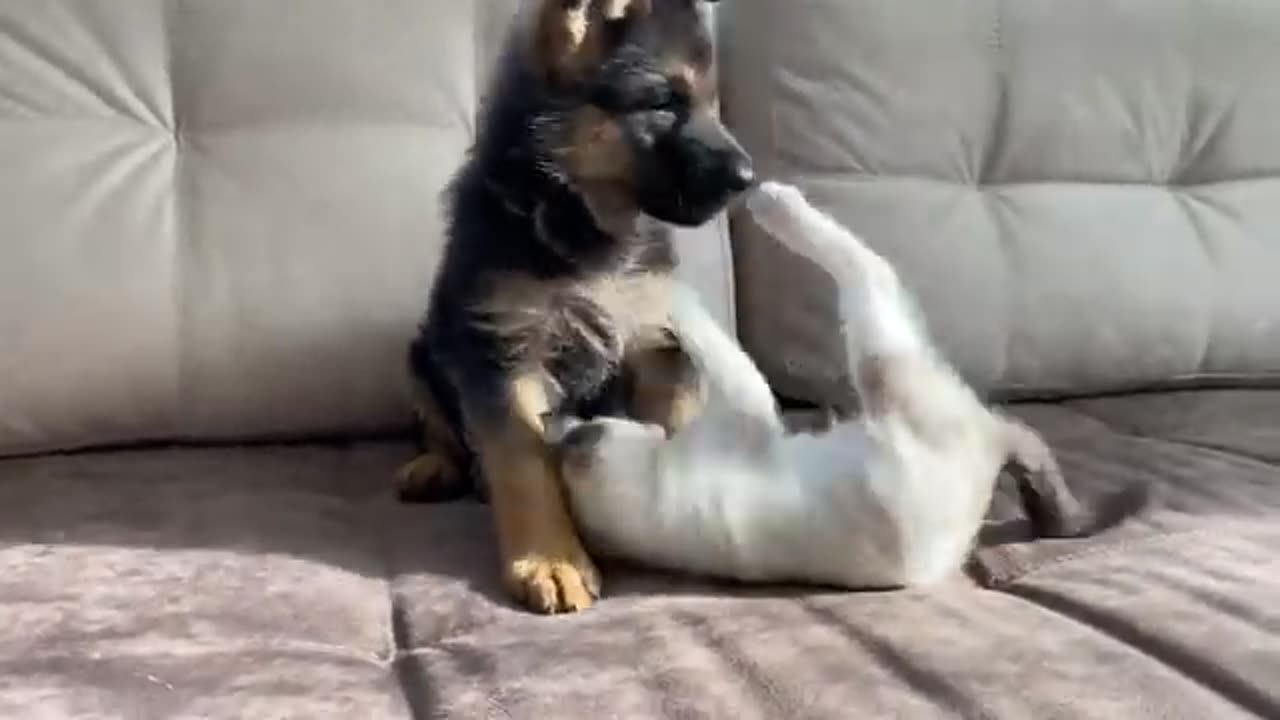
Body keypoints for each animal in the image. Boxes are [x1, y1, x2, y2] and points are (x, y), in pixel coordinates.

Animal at [394, 0, 747, 614]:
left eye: (709, 101)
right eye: (663, 101)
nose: (750, 178)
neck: (582, 220)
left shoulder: (653, 335)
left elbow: (676, 400)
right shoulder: (501, 353)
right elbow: (522, 461)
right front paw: (550, 560)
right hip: (422, 352)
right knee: (441, 427)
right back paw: (437, 465)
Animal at [545, 180, 1085, 589]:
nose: (563, 418)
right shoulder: (748, 409)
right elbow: (715, 340)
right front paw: (670, 293)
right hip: (881, 358)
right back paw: (773, 201)